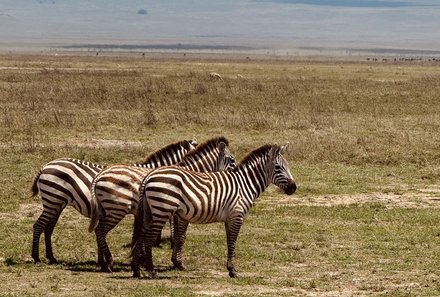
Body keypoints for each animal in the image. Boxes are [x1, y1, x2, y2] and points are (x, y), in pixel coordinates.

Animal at [30, 139, 196, 264]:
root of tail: (45, 166)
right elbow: (138, 234)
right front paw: (140, 258)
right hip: (53, 200)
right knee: (39, 225)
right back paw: (36, 257)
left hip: (57, 203)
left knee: (48, 228)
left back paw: (51, 257)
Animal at [87, 136, 235, 270]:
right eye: (232, 160)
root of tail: (100, 175)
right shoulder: (180, 213)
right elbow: (180, 236)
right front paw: (178, 263)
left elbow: (175, 235)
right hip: (117, 209)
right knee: (100, 231)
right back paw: (109, 262)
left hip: (105, 209)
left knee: (99, 231)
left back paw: (102, 262)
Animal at [131, 143, 296, 278]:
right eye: (278, 167)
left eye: (288, 166)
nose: (294, 188)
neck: (244, 184)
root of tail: (149, 176)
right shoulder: (237, 216)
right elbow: (232, 243)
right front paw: (232, 271)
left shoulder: (229, 218)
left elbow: (229, 242)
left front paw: (230, 268)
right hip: (162, 210)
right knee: (149, 238)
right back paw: (151, 271)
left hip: (150, 212)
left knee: (142, 234)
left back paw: (136, 270)